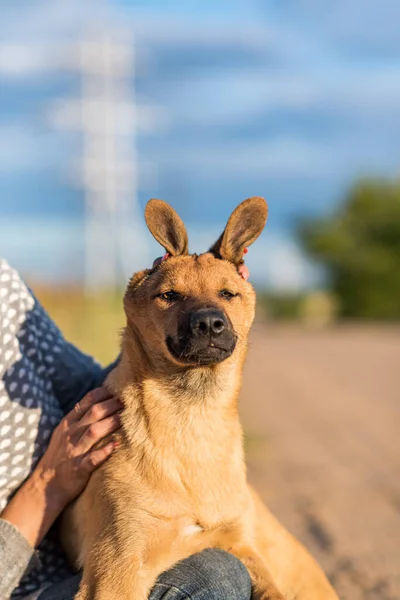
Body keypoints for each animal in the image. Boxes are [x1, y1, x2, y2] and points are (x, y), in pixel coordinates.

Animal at [61, 198, 338, 600]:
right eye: (169, 295)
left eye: (227, 293)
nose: (208, 324)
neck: (194, 418)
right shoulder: (116, 568)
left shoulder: (240, 543)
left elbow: (268, 585)